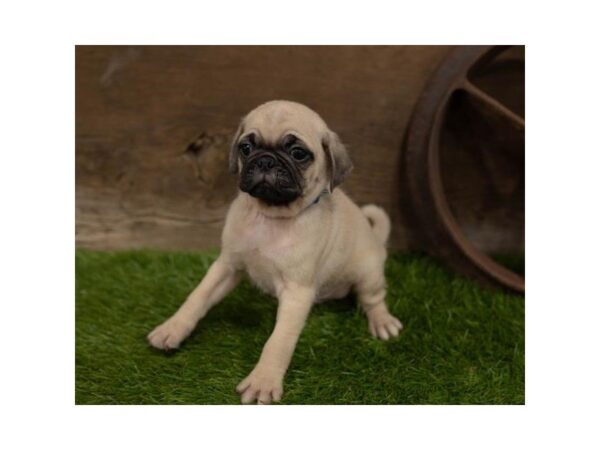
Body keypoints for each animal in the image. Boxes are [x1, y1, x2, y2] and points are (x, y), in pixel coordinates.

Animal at [148, 100, 404, 402]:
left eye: (298, 153)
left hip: (368, 273)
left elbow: (278, 341)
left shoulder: (296, 293)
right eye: (247, 148)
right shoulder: (227, 265)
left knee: (373, 299)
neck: (270, 217)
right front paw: (173, 328)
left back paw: (382, 321)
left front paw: (263, 380)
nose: (265, 160)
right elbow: (197, 297)